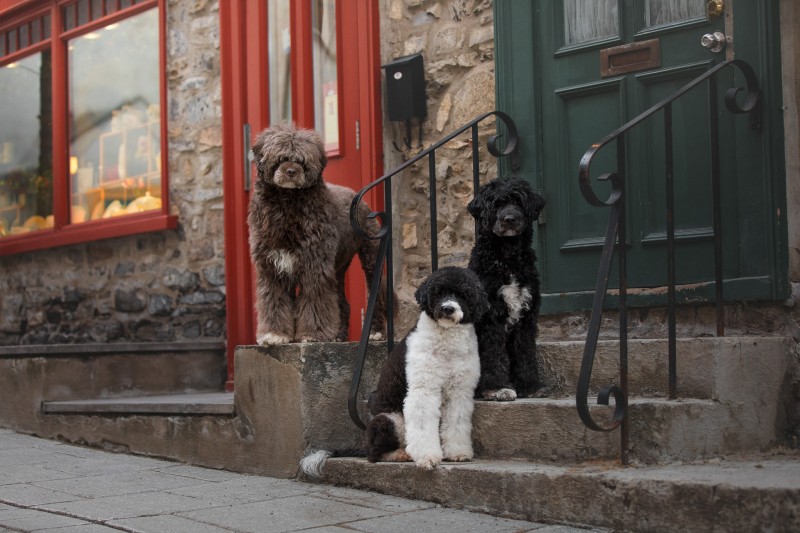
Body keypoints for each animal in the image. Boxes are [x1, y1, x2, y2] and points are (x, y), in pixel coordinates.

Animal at [250, 122, 388, 342]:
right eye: (281, 157)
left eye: (302, 160)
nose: (291, 171)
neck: (287, 204)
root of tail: (357, 197)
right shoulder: (272, 267)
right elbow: (274, 300)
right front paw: (275, 334)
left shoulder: (314, 264)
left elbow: (315, 300)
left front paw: (312, 334)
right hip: (338, 267)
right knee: (343, 303)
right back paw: (339, 335)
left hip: (371, 258)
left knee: (376, 298)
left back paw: (375, 332)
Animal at [300, 268, 488, 472]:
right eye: (438, 292)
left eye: (463, 294)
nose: (448, 308)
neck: (446, 342)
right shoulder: (423, 390)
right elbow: (423, 424)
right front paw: (427, 457)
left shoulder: (459, 392)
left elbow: (457, 423)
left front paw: (458, 452)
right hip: (391, 420)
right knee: (374, 454)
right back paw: (401, 454)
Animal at [466, 177, 548, 402]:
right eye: (496, 204)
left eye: (518, 201)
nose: (509, 219)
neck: (508, 260)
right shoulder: (491, 318)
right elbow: (495, 354)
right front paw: (498, 388)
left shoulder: (527, 316)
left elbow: (526, 352)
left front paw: (530, 386)